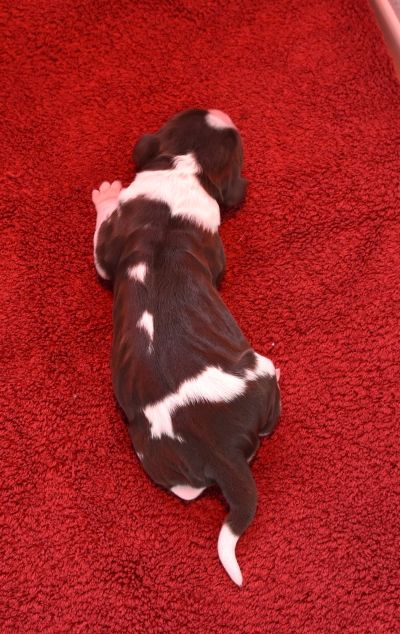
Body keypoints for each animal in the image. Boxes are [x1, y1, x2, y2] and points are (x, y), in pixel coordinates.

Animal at [91, 108, 281, 586]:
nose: (220, 111)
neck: (184, 165)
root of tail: (220, 450)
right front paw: (106, 194)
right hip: (258, 370)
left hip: (149, 449)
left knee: (188, 490)